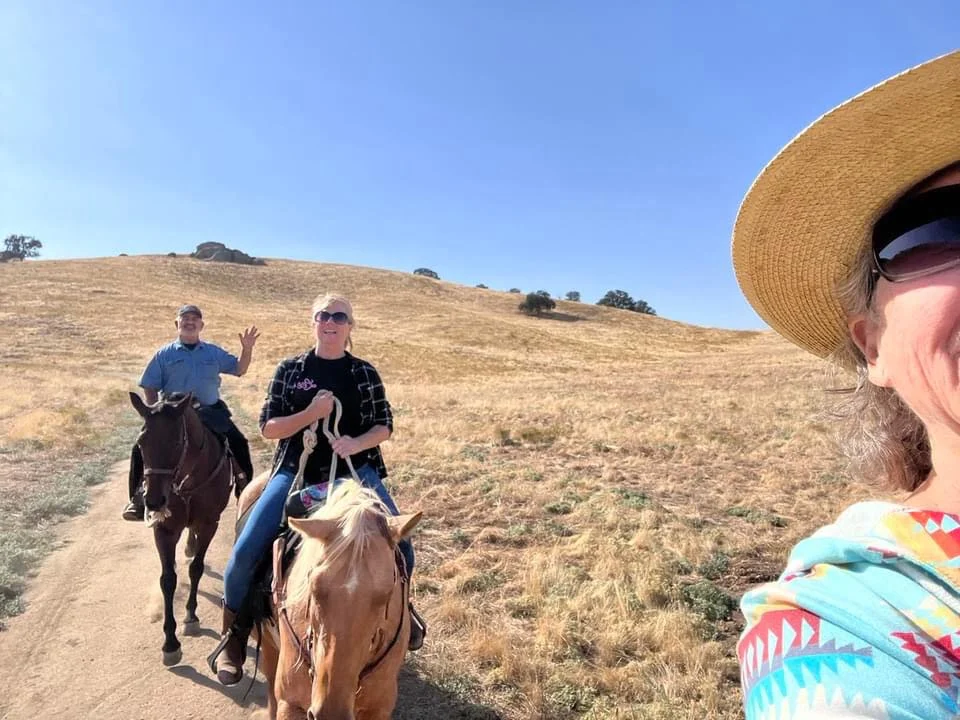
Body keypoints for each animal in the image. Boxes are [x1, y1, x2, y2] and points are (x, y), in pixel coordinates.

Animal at [130, 391, 235, 665]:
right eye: (141, 442)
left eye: (177, 442)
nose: (153, 501)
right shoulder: (164, 530)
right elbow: (168, 580)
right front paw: (170, 643)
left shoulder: (209, 524)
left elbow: (196, 568)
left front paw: (191, 617)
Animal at [236, 475, 421, 720]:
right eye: (313, 586)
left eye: (386, 595)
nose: (331, 711)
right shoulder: (290, 702)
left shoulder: (379, 708)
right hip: (267, 645)